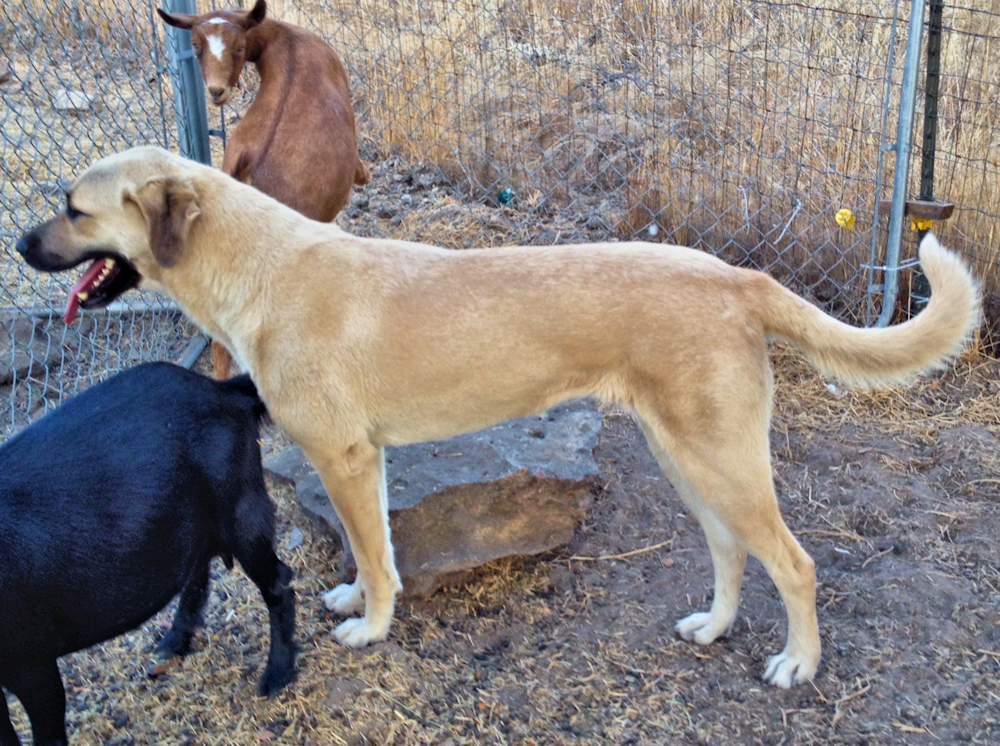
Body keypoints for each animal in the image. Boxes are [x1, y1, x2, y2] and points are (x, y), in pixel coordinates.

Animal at [15, 147, 980, 684]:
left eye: (72, 208)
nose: (22, 246)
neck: (263, 266)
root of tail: (738, 275)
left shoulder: (343, 457)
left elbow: (380, 559)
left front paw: (371, 627)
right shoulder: (360, 462)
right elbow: (369, 551)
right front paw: (356, 599)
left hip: (724, 463)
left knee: (796, 563)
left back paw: (798, 665)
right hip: (690, 460)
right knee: (730, 551)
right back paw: (714, 627)